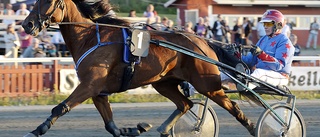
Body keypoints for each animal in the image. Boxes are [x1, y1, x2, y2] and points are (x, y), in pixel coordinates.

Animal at [22, 0, 255, 136]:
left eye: (48, 1)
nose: (27, 24)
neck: (89, 38)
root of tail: (204, 43)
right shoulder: (98, 91)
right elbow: (111, 125)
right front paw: (135, 128)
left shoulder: (89, 85)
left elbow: (60, 107)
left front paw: (36, 130)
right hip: (164, 83)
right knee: (185, 104)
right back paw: (164, 129)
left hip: (207, 84)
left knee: (233, 107)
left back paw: (254, 128)